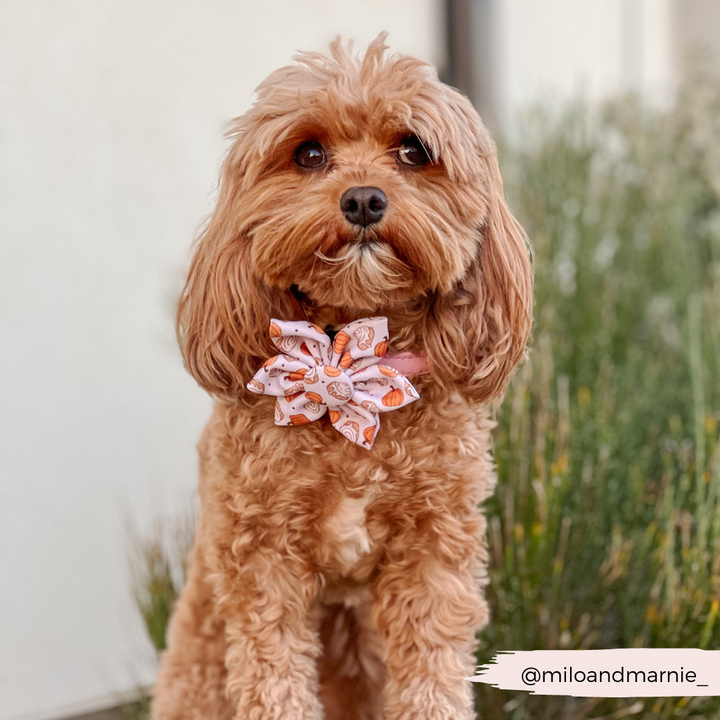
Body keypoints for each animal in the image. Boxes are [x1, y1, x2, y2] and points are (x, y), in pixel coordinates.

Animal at [152, 35, 532, 720]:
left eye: (413, 150)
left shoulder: (434, 553)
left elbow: (432, 675)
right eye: (309, 154)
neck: (351, 365)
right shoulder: (261, 560)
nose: (362, 199)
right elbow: (273, 679)